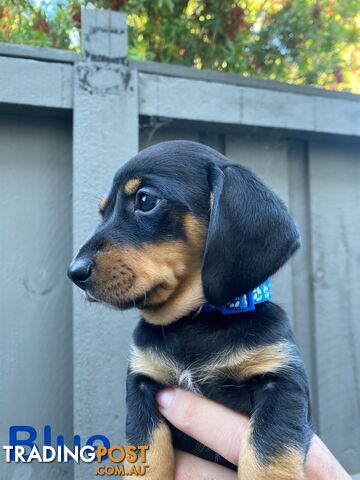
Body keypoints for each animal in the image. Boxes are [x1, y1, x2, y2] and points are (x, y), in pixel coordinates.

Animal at [67, 141, 312, 478]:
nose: (74, 272)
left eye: (145, 200)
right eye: (103, 211)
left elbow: (267, 455)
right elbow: (149, 455)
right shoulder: (142, 385)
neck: (194, 321)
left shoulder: (281, 383)